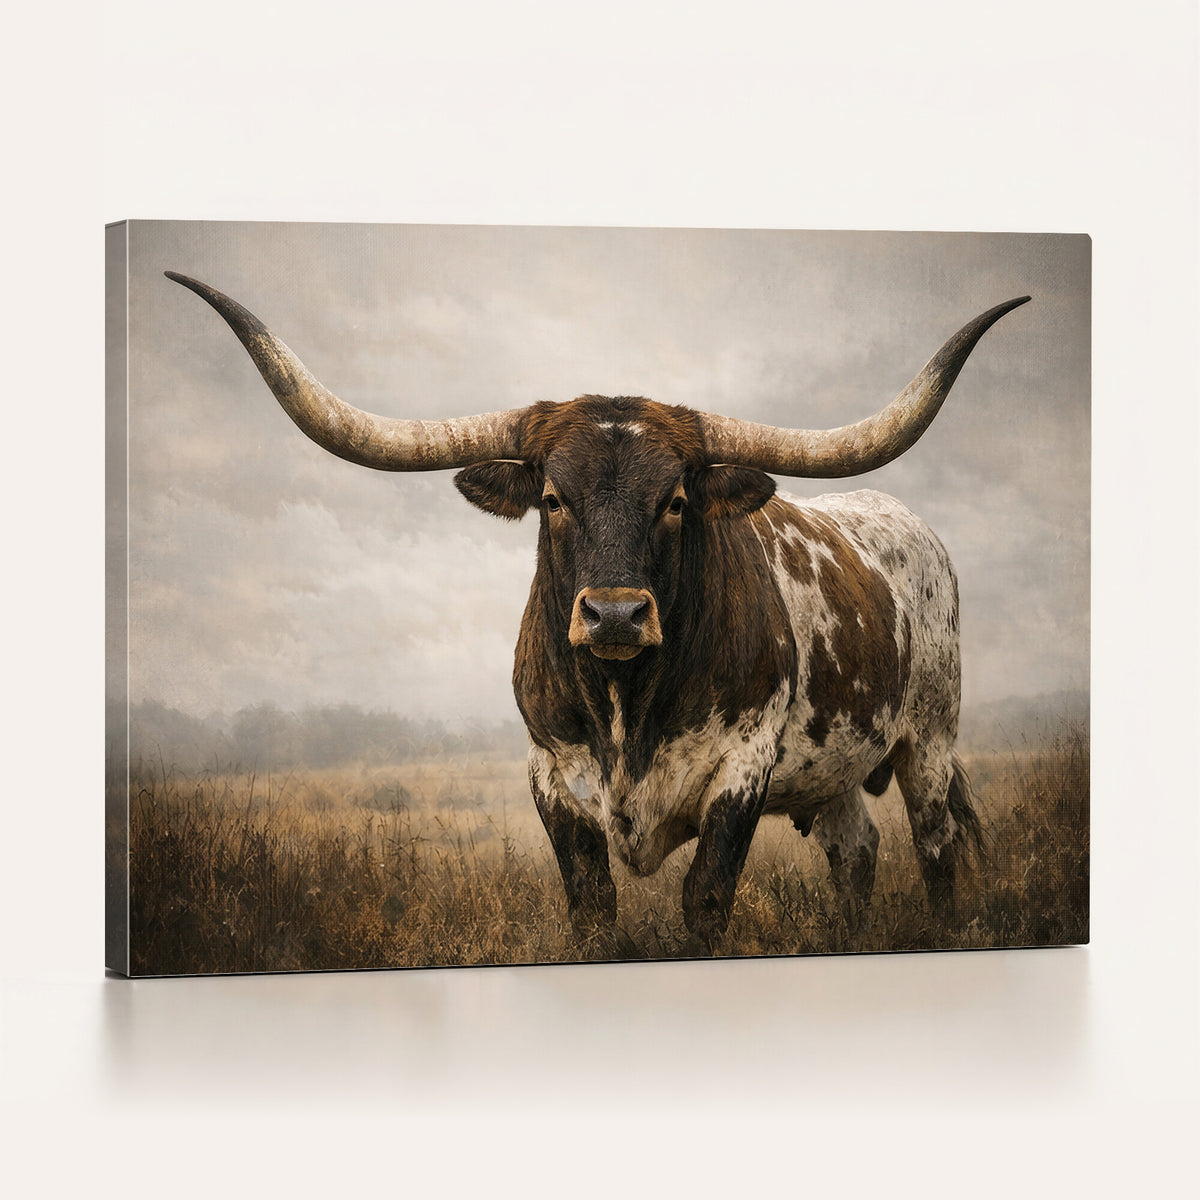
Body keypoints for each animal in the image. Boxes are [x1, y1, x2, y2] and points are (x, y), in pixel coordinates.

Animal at [167, 270, 1028, 954]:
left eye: (676, 500)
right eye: (553, 497)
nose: (615, 616)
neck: (627, 707)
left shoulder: (744, 767)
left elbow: (705, 897)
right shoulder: (550, 774)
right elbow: (592, 903)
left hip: (929, 740)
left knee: (937, 849)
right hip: (836, 771)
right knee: (857, 853)